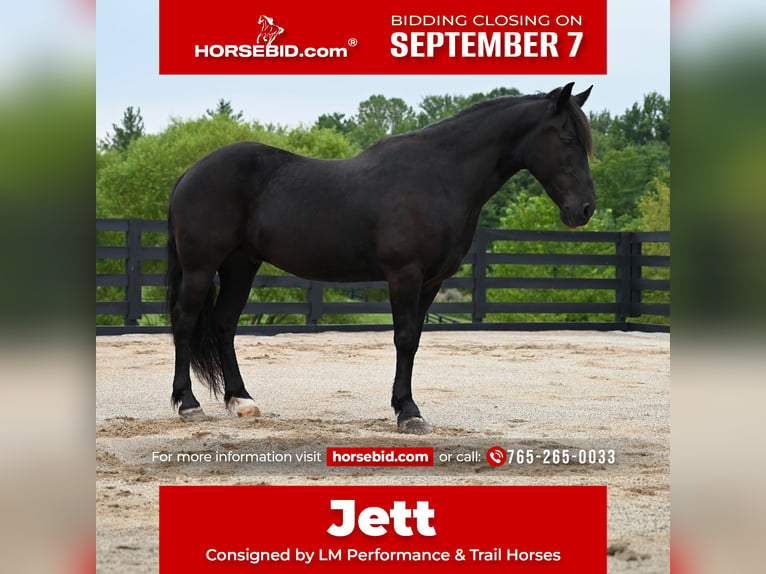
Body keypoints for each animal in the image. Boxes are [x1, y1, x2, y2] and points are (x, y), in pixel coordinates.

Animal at [166, 82, 595, 434]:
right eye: (566, 137)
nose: (586, 208)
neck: (439, 176)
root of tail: (190, 172)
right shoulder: (405, 275)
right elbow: (403, 338)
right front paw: (408, 412)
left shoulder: (431, 282)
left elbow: (415, 339)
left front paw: (405, 406)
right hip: (201, 268)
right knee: (186, 323)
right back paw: (188, 404)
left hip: (241, 265)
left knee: (224, 324)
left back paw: (241, 401)